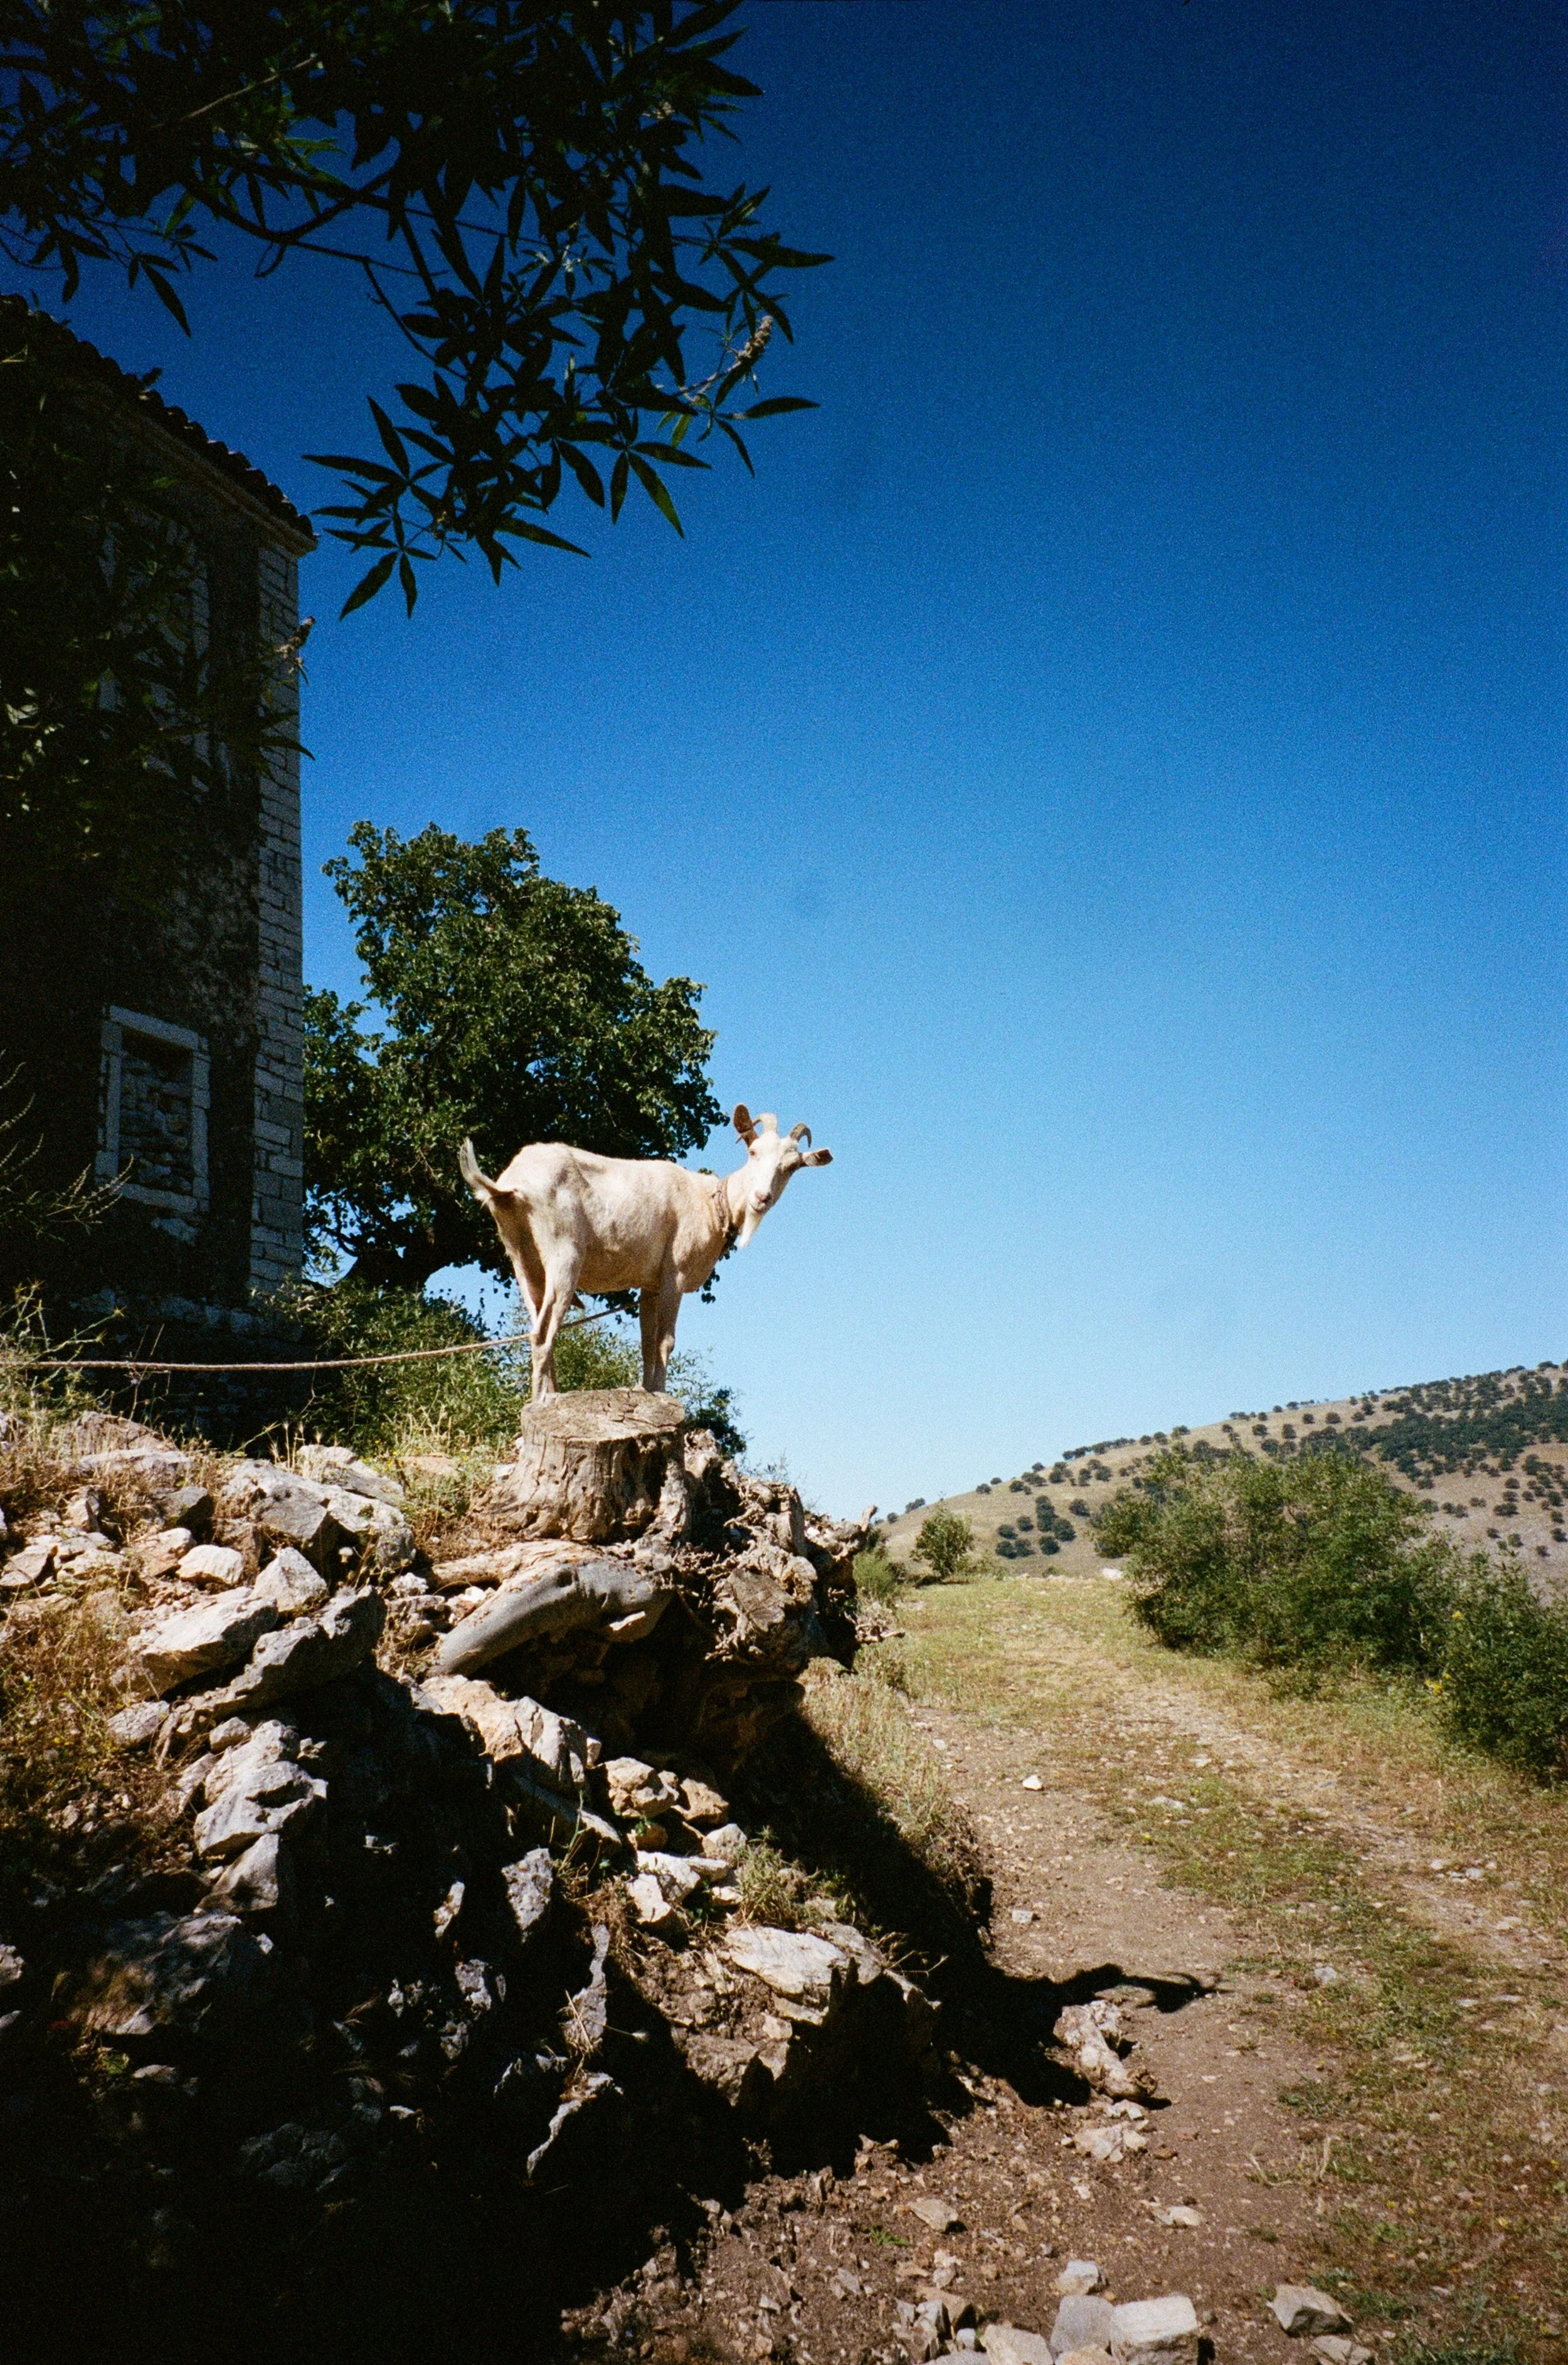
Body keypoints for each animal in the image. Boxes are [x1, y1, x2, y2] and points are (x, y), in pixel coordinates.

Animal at [458, 1105, 833, 1398]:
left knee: (538, 1321)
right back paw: (542, 1401)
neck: (714, 1204)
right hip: (564, 1254)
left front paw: (647, 1391)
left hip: (522, 1257)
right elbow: (666, 1341)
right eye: (753, 1152)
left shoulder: (650, 1284)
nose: (761, 1198)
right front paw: (664, 1394)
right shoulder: (675, 1275)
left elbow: (647, 1340)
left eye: (791, 1167)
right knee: (542, 1331)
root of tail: (511, 1185)